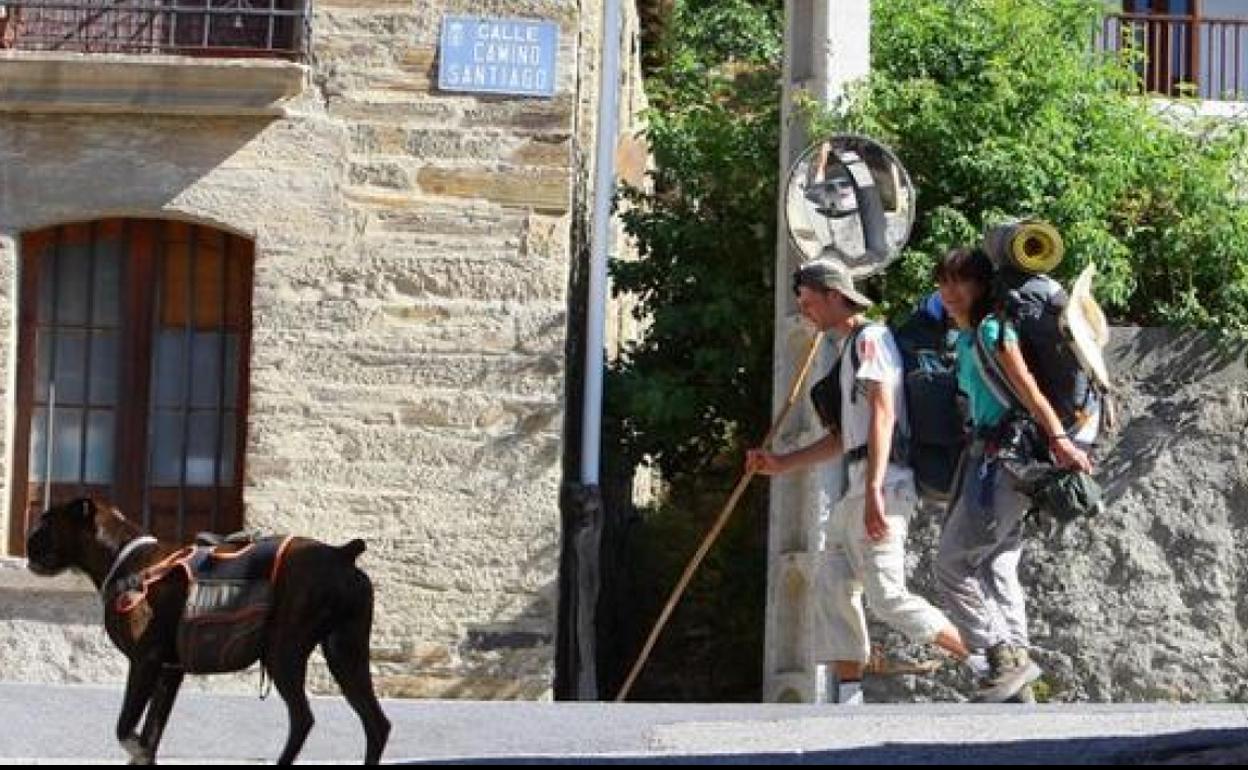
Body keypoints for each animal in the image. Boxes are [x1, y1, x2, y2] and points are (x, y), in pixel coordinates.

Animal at [26, 497, 390, 765]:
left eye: (47, 521)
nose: (29, 538)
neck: (126, 560)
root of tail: (342, 554)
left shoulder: (145, 662)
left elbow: (126, 727)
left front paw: (135, 746)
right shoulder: (169, 673)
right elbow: (152, 732)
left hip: (284, 652)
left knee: (303, 719)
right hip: (346, 655)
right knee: (376, 724)